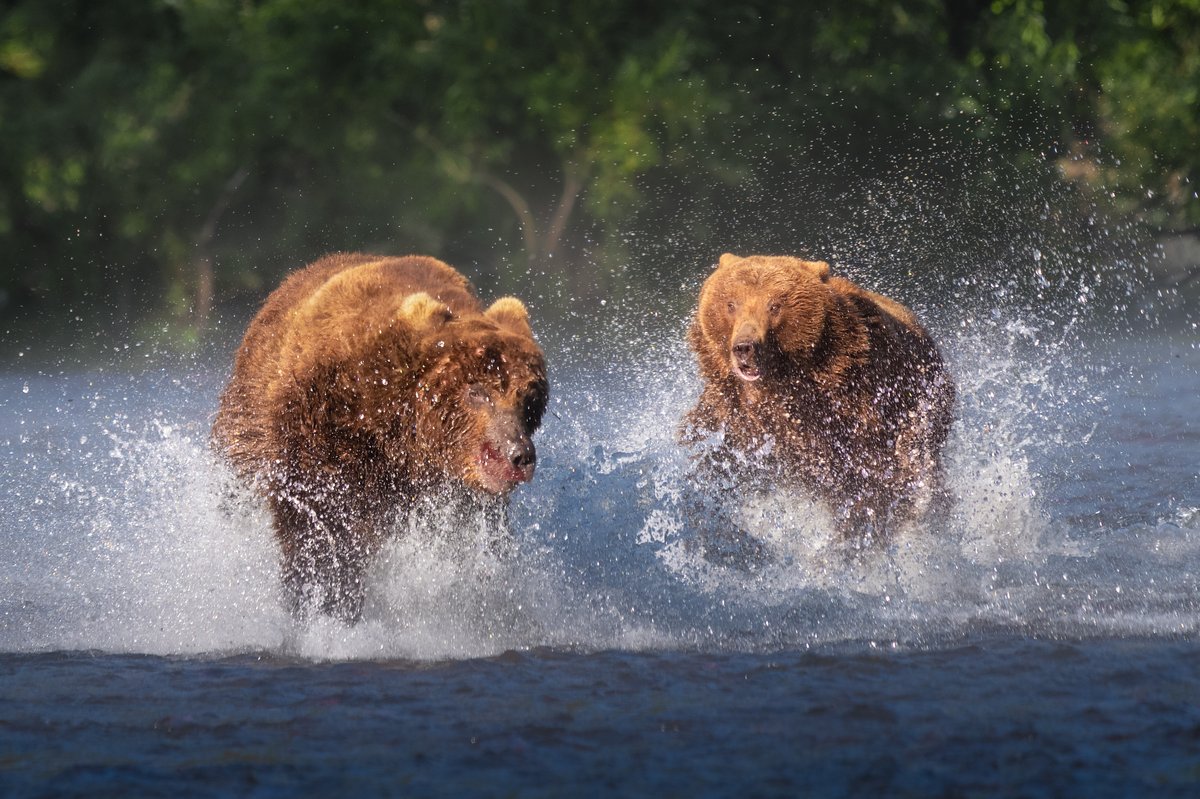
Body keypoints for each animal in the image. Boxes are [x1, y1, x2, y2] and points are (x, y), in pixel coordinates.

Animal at [213, 251, 549, 619]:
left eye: (528, 398)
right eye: (477, 392)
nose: (519, 455)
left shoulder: (449, 498)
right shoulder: (323, 429)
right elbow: (320, 529)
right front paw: (326, 600)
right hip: (248, 423)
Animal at [686, 251, 955, 544]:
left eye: (775, 306)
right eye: (731, 304)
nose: (744, 347)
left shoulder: (855, 407)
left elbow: (867, 482)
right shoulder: (734, 415)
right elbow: (716, 455)